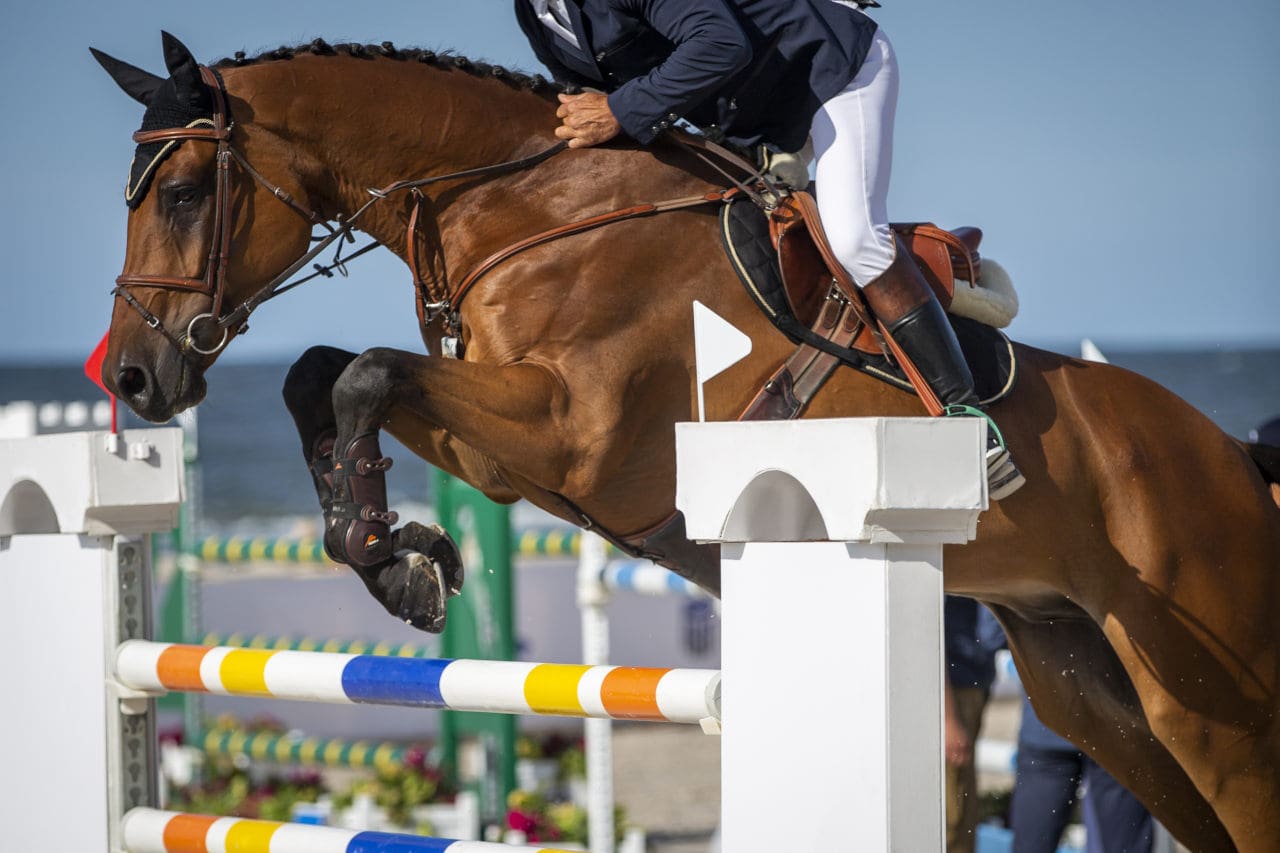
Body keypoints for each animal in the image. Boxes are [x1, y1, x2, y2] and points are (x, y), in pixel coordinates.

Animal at [91, 33, 1280, 852]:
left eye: (186, 194)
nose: (137, 377)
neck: (526, 206)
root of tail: (1229, 453)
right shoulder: (503, 453)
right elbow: (323, 375)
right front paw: (399, 554)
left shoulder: (569, 432)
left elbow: (366, 373)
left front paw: (401, 564)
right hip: (1092, 689)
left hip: (1204, 699)